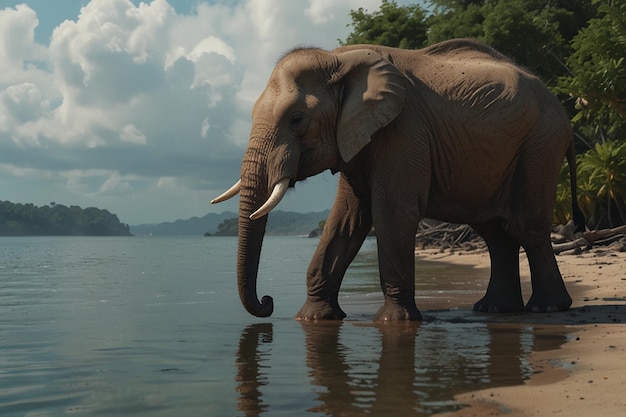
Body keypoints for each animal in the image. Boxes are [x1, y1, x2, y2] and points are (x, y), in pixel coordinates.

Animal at [212, 38, 584, 318]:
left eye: (297, 119)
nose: (268, 302)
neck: (338, 58)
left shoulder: (405, 130)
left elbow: (391, 211)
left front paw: (393, 323)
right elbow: (346, 219)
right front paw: (313, 318)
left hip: (540, 143)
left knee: (527, 226)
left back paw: (547, 309)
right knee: (494, 232)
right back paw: (494, 310)